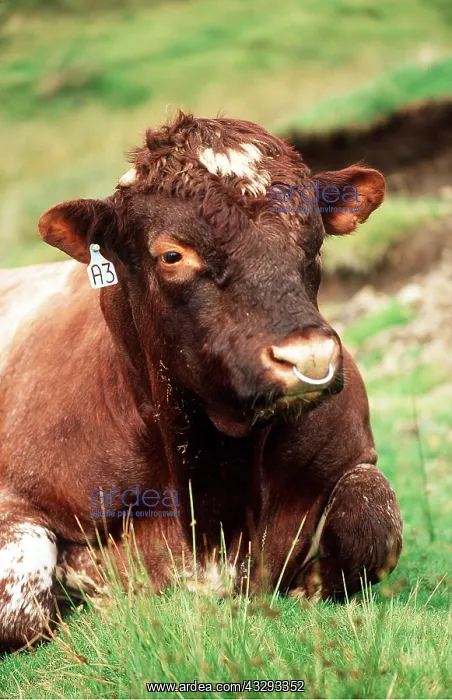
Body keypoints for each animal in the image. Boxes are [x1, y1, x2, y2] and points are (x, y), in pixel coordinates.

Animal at [0, 111, 402, 648]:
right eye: (173, 255)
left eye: (314, 242)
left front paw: (306, 586)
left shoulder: (354, 456)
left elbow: (373, 522)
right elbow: (21, 609)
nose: (311, 356)